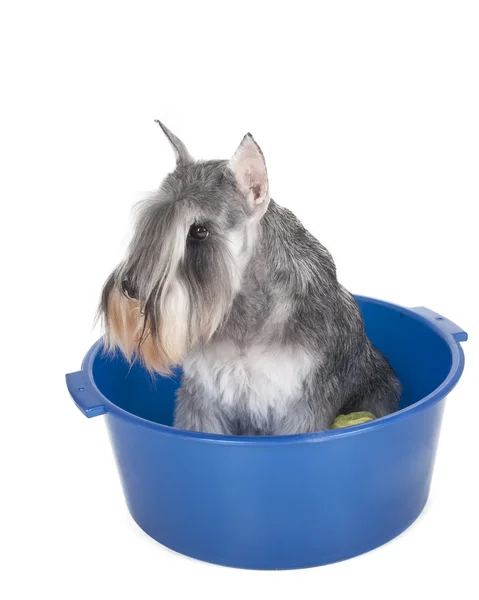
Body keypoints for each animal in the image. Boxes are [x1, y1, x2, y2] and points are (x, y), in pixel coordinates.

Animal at [100, 122, 402, 434]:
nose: (130, 288)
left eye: (199, 231)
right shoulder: (202, 398)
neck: (245, 312)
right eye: (151, 223)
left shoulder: (303, 408)